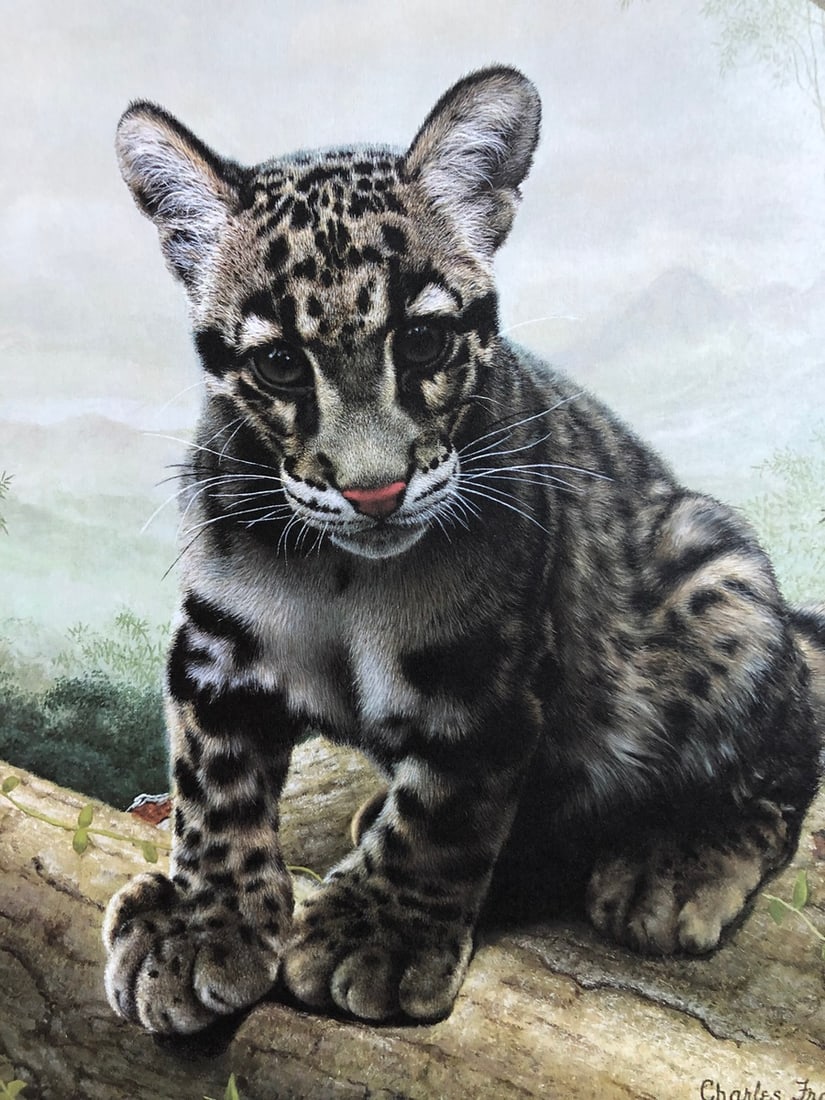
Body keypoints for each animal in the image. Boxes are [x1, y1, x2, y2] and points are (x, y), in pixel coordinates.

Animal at [103, 65, 824, 1034]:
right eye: (282, 364)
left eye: (422, 340)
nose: (372, 490)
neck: (339, 575)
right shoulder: (217, 646)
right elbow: (211, 787)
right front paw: (197, 923)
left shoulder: (485, 668)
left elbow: (443, 813)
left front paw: (378, 937)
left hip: (722, 585)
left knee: (781, 757)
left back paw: (674, 867)